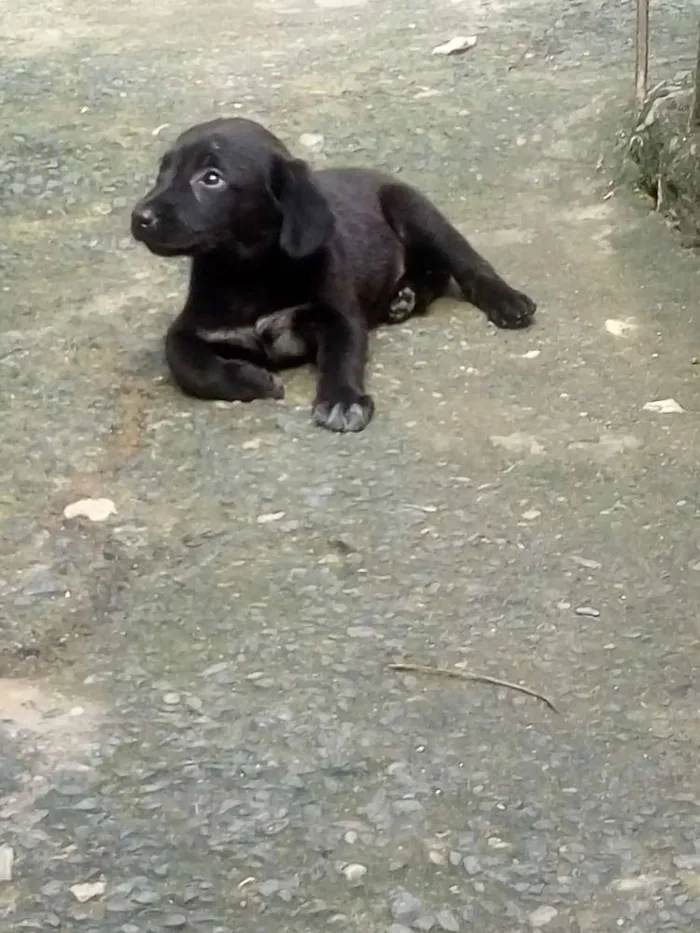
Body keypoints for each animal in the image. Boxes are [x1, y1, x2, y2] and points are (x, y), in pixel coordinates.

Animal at [131, 116, 536, 434]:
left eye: (211, 178)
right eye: (163, 172)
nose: (139, 217)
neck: (249, 273)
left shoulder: (339, 316)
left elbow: (342, 357)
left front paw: (343, 400)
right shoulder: (189, 329)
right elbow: (187, 363)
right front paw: (250, 379)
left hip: (417, 211)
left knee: (467, 265)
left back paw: (507, 302)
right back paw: (404, 297)